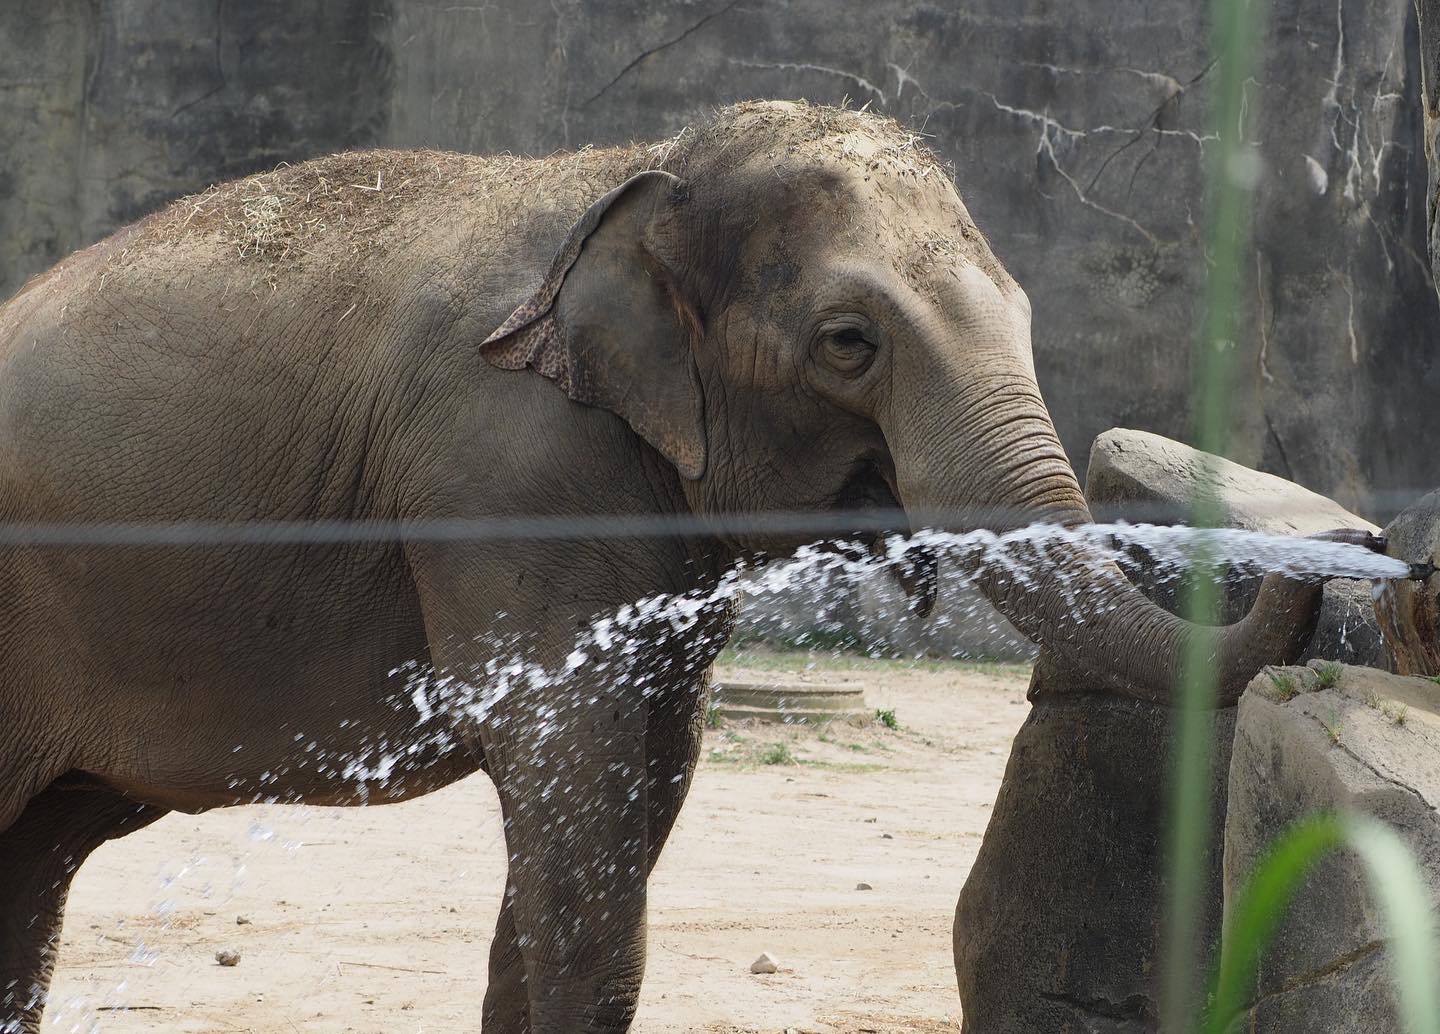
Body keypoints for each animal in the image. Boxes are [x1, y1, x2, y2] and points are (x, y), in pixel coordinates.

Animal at [0, 100, 1338, 1033]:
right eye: (848, 343)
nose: (1340, 550)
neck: (640, 168)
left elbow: (646, 776)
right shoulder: (503, 467)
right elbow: (575, 775)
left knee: (36, 861)